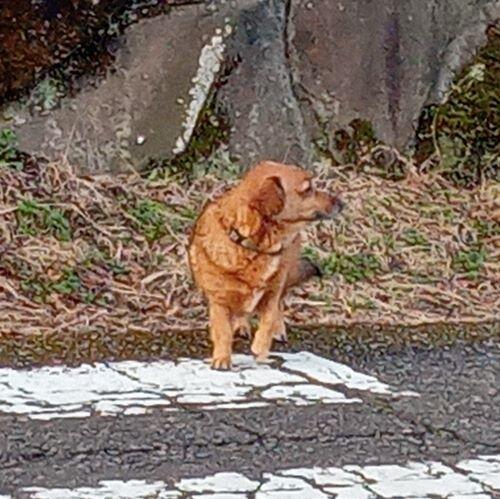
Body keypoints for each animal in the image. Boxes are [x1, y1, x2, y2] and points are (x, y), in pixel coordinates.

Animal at [188, 161, 344, 370]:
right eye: (307, 189)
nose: (342, 203)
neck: (252, 246)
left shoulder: (271, 292)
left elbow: (268, 321)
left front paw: (261, 348)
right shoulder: (219, 300)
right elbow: (223, 331)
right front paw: (222, 358)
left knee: (279, 305)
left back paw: (277, 329)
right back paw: (241, 326)